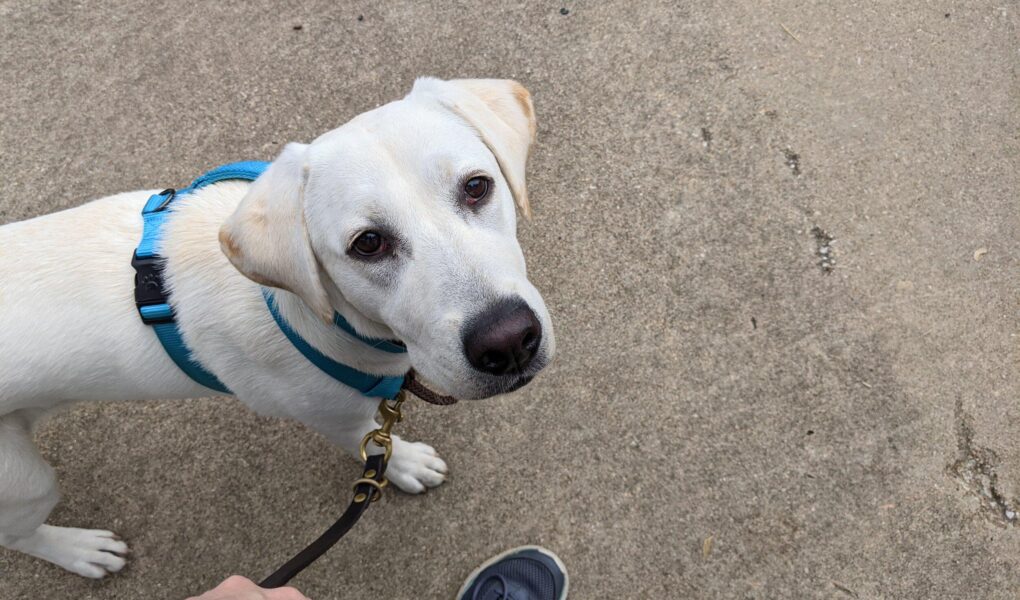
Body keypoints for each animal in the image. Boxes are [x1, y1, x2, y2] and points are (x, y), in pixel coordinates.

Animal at [0, 77, 558, 579]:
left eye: (476, 187)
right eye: (368, 243)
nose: (508, 342)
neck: (317, 312)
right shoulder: (334, 416)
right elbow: (376, 444)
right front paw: (406, 465)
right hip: (24, 482)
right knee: (19, 536)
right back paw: (80, 551)